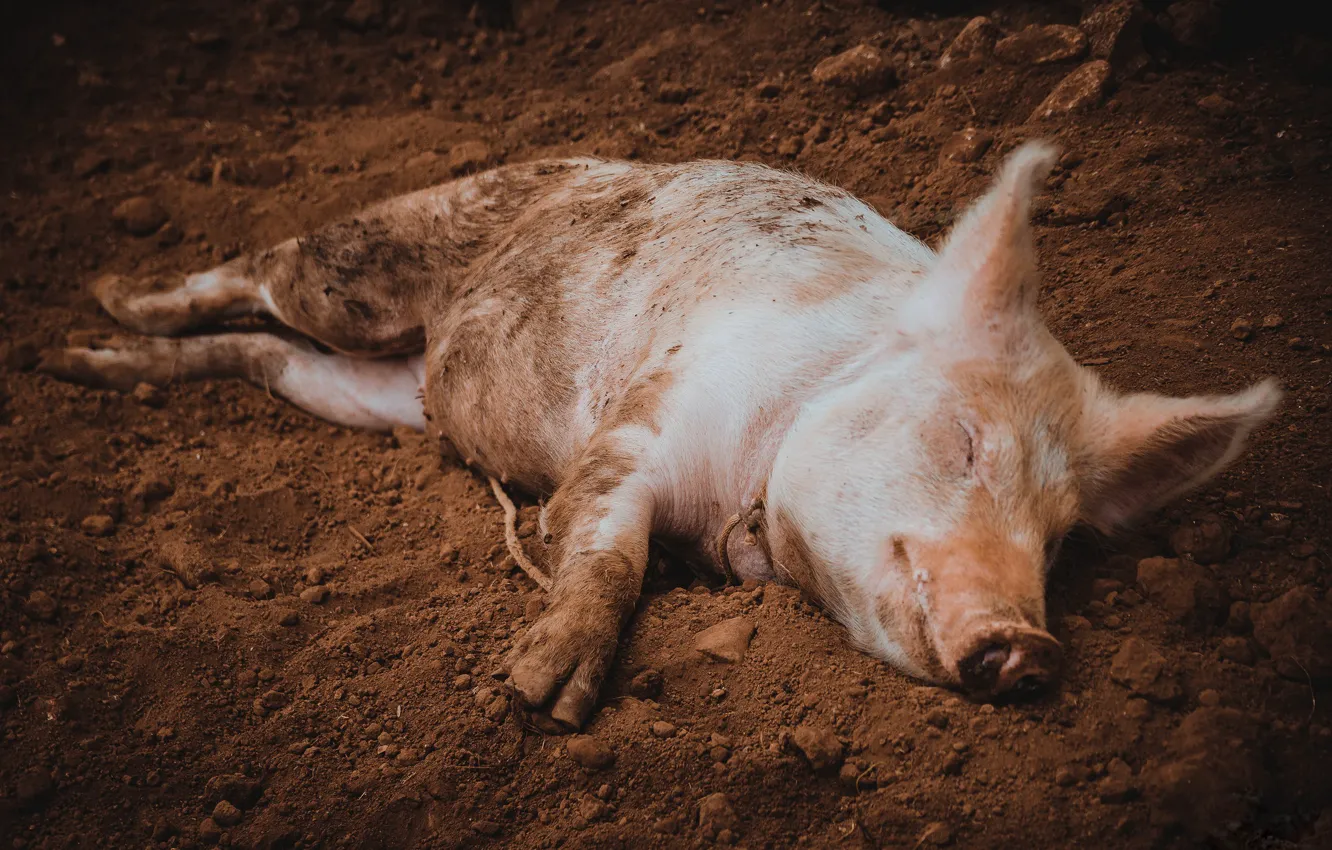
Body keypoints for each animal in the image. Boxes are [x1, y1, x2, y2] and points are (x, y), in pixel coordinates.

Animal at [40, 141, 1279, 728]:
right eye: (966, 441)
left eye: (1062, 538)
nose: (1031, 646)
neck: (741, 519)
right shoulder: (643, 419)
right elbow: (604, 544)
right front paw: (539, 695)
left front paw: (537, 690)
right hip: (362, 261)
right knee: (248, 272)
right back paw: (96, 311)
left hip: (365, 393)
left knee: (262, 356)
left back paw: (93, 364)